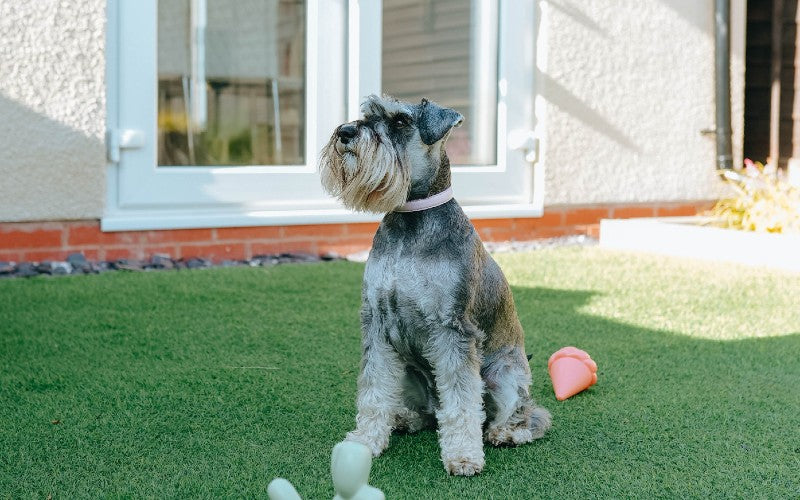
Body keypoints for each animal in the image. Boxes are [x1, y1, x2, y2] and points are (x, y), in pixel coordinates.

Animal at [318, 94, 552, 476]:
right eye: (366, 114)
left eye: (400, 122)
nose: (346, 132)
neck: (410, 222)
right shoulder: (377, 324)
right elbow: (373, 390)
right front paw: (365, 441)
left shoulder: (453, 327)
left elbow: (461, 402)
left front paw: (463, 456)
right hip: (408, 372)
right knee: (428, 412)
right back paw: (404, 418)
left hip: (505, 375)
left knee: (528, 414)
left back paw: (507, 432)